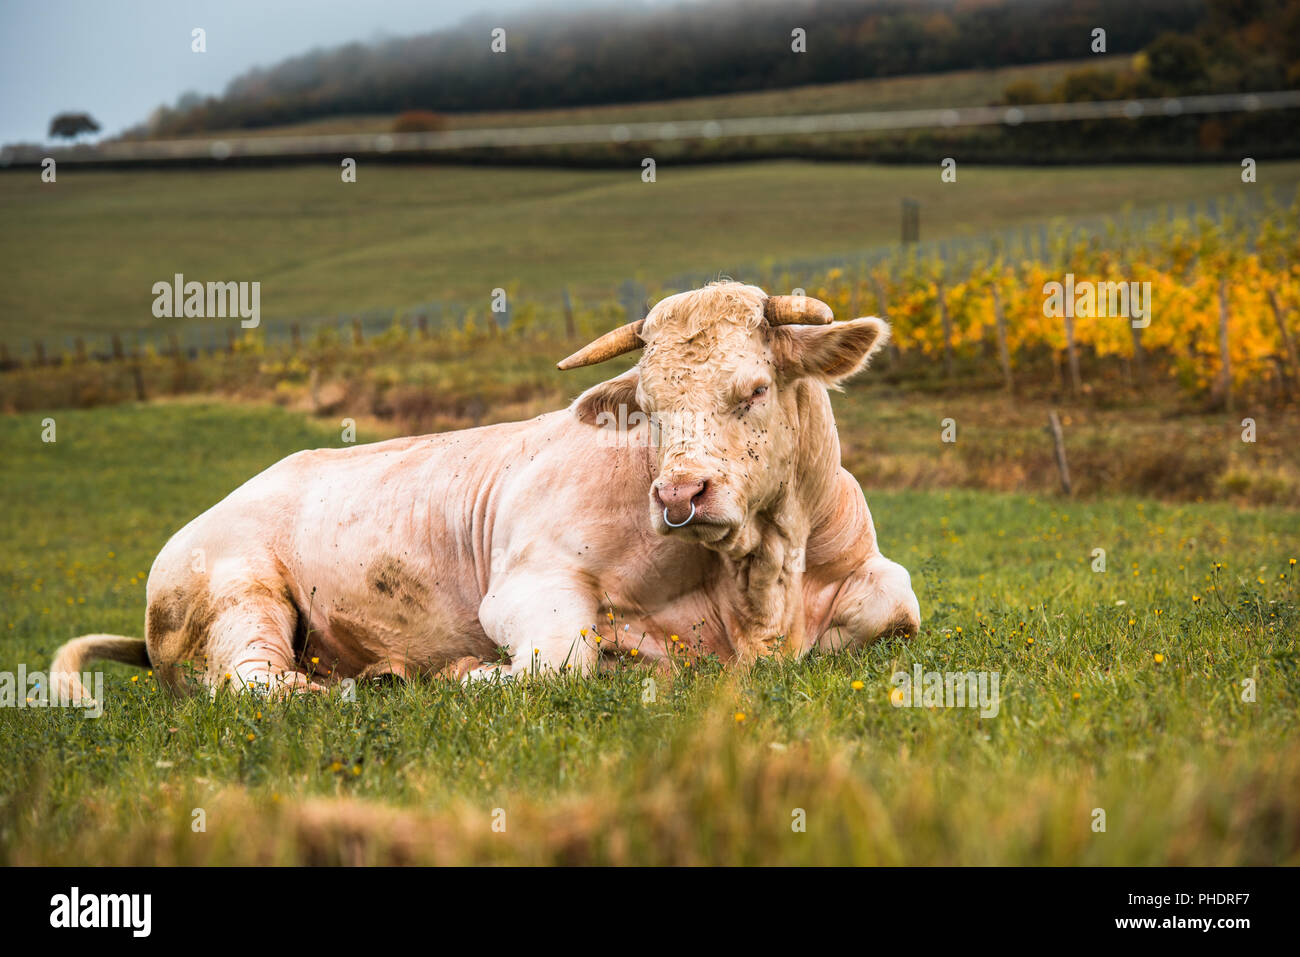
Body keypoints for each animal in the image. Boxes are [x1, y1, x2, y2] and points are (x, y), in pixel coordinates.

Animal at [50, 282, 919, 699]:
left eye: (753, 390)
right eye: (648, 406)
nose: (680, 493)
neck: (760, 584)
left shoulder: (883, 587)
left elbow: (896, 610)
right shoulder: (527, 584)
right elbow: (562, 658)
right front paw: (470, 673)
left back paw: (381, 673)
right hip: (238, 593)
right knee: (253, 687)